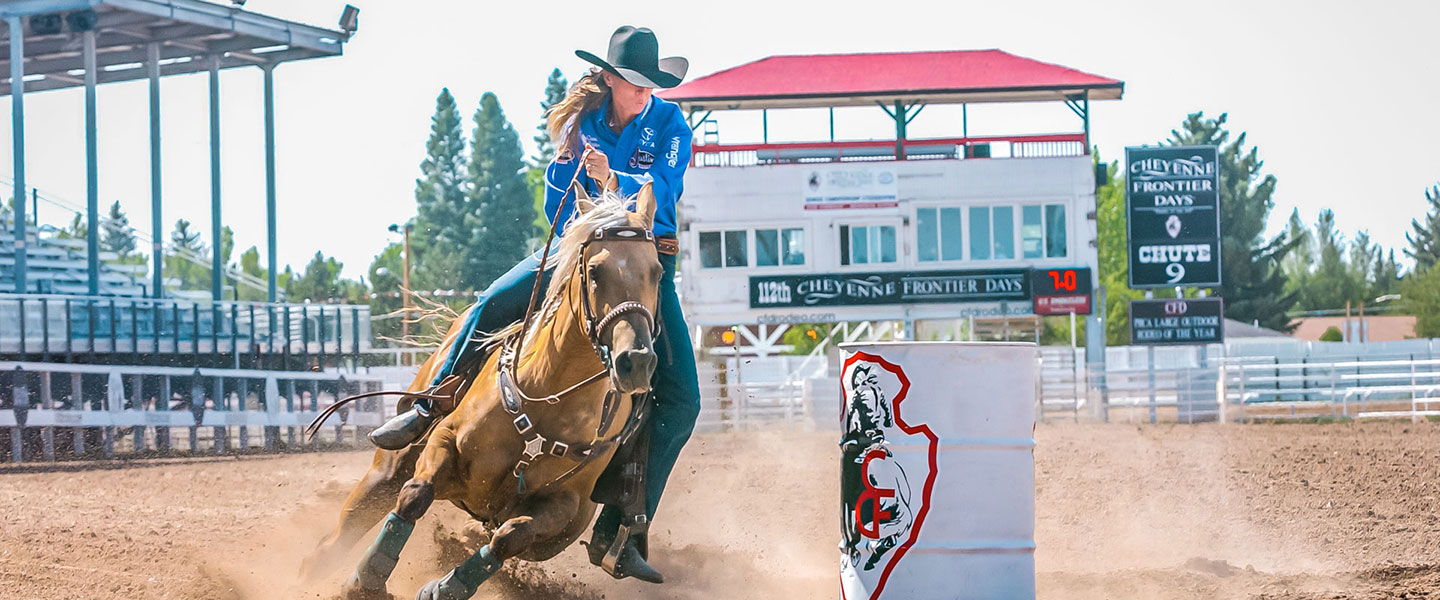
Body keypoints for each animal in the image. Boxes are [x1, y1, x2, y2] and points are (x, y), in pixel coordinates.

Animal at [306, 183, 665, 598]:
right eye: (594, 271)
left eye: (656, 272)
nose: (635, 360)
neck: (551, 397)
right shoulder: (444, 442)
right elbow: (415, 496)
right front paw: (367, 580)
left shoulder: (564, 503)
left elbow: (508, 537)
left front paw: (444, 587)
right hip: (386, 469)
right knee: (338, 535)